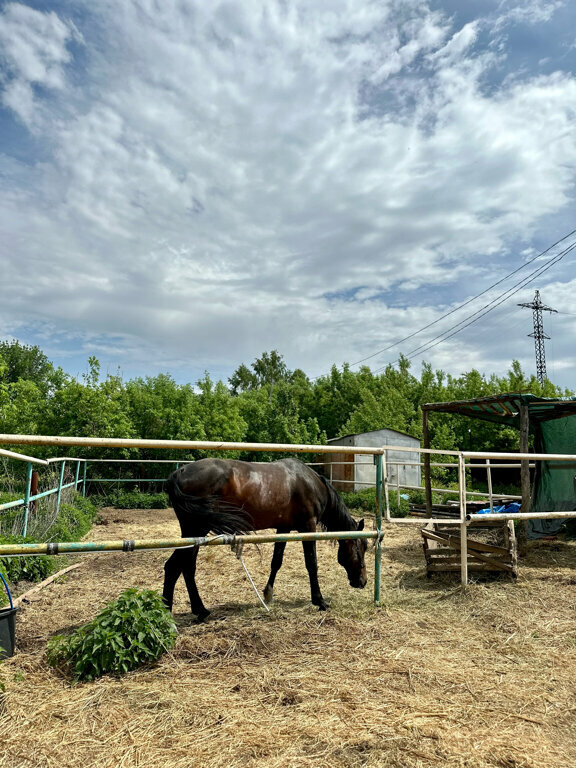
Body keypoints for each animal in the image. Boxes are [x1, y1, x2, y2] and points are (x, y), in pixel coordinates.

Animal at [162, 460, 368, 620]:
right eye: (361, 549)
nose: (363, 582)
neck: (311, 483)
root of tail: (179, 473)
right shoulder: (307, 527)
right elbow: (311, 563)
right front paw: (319, 600)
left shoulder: (284, 528)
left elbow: (276, 561)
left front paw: (268, 593)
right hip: (196, 529)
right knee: (175, 567)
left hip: (195, 534)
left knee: (185, 567)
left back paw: (199, 610)